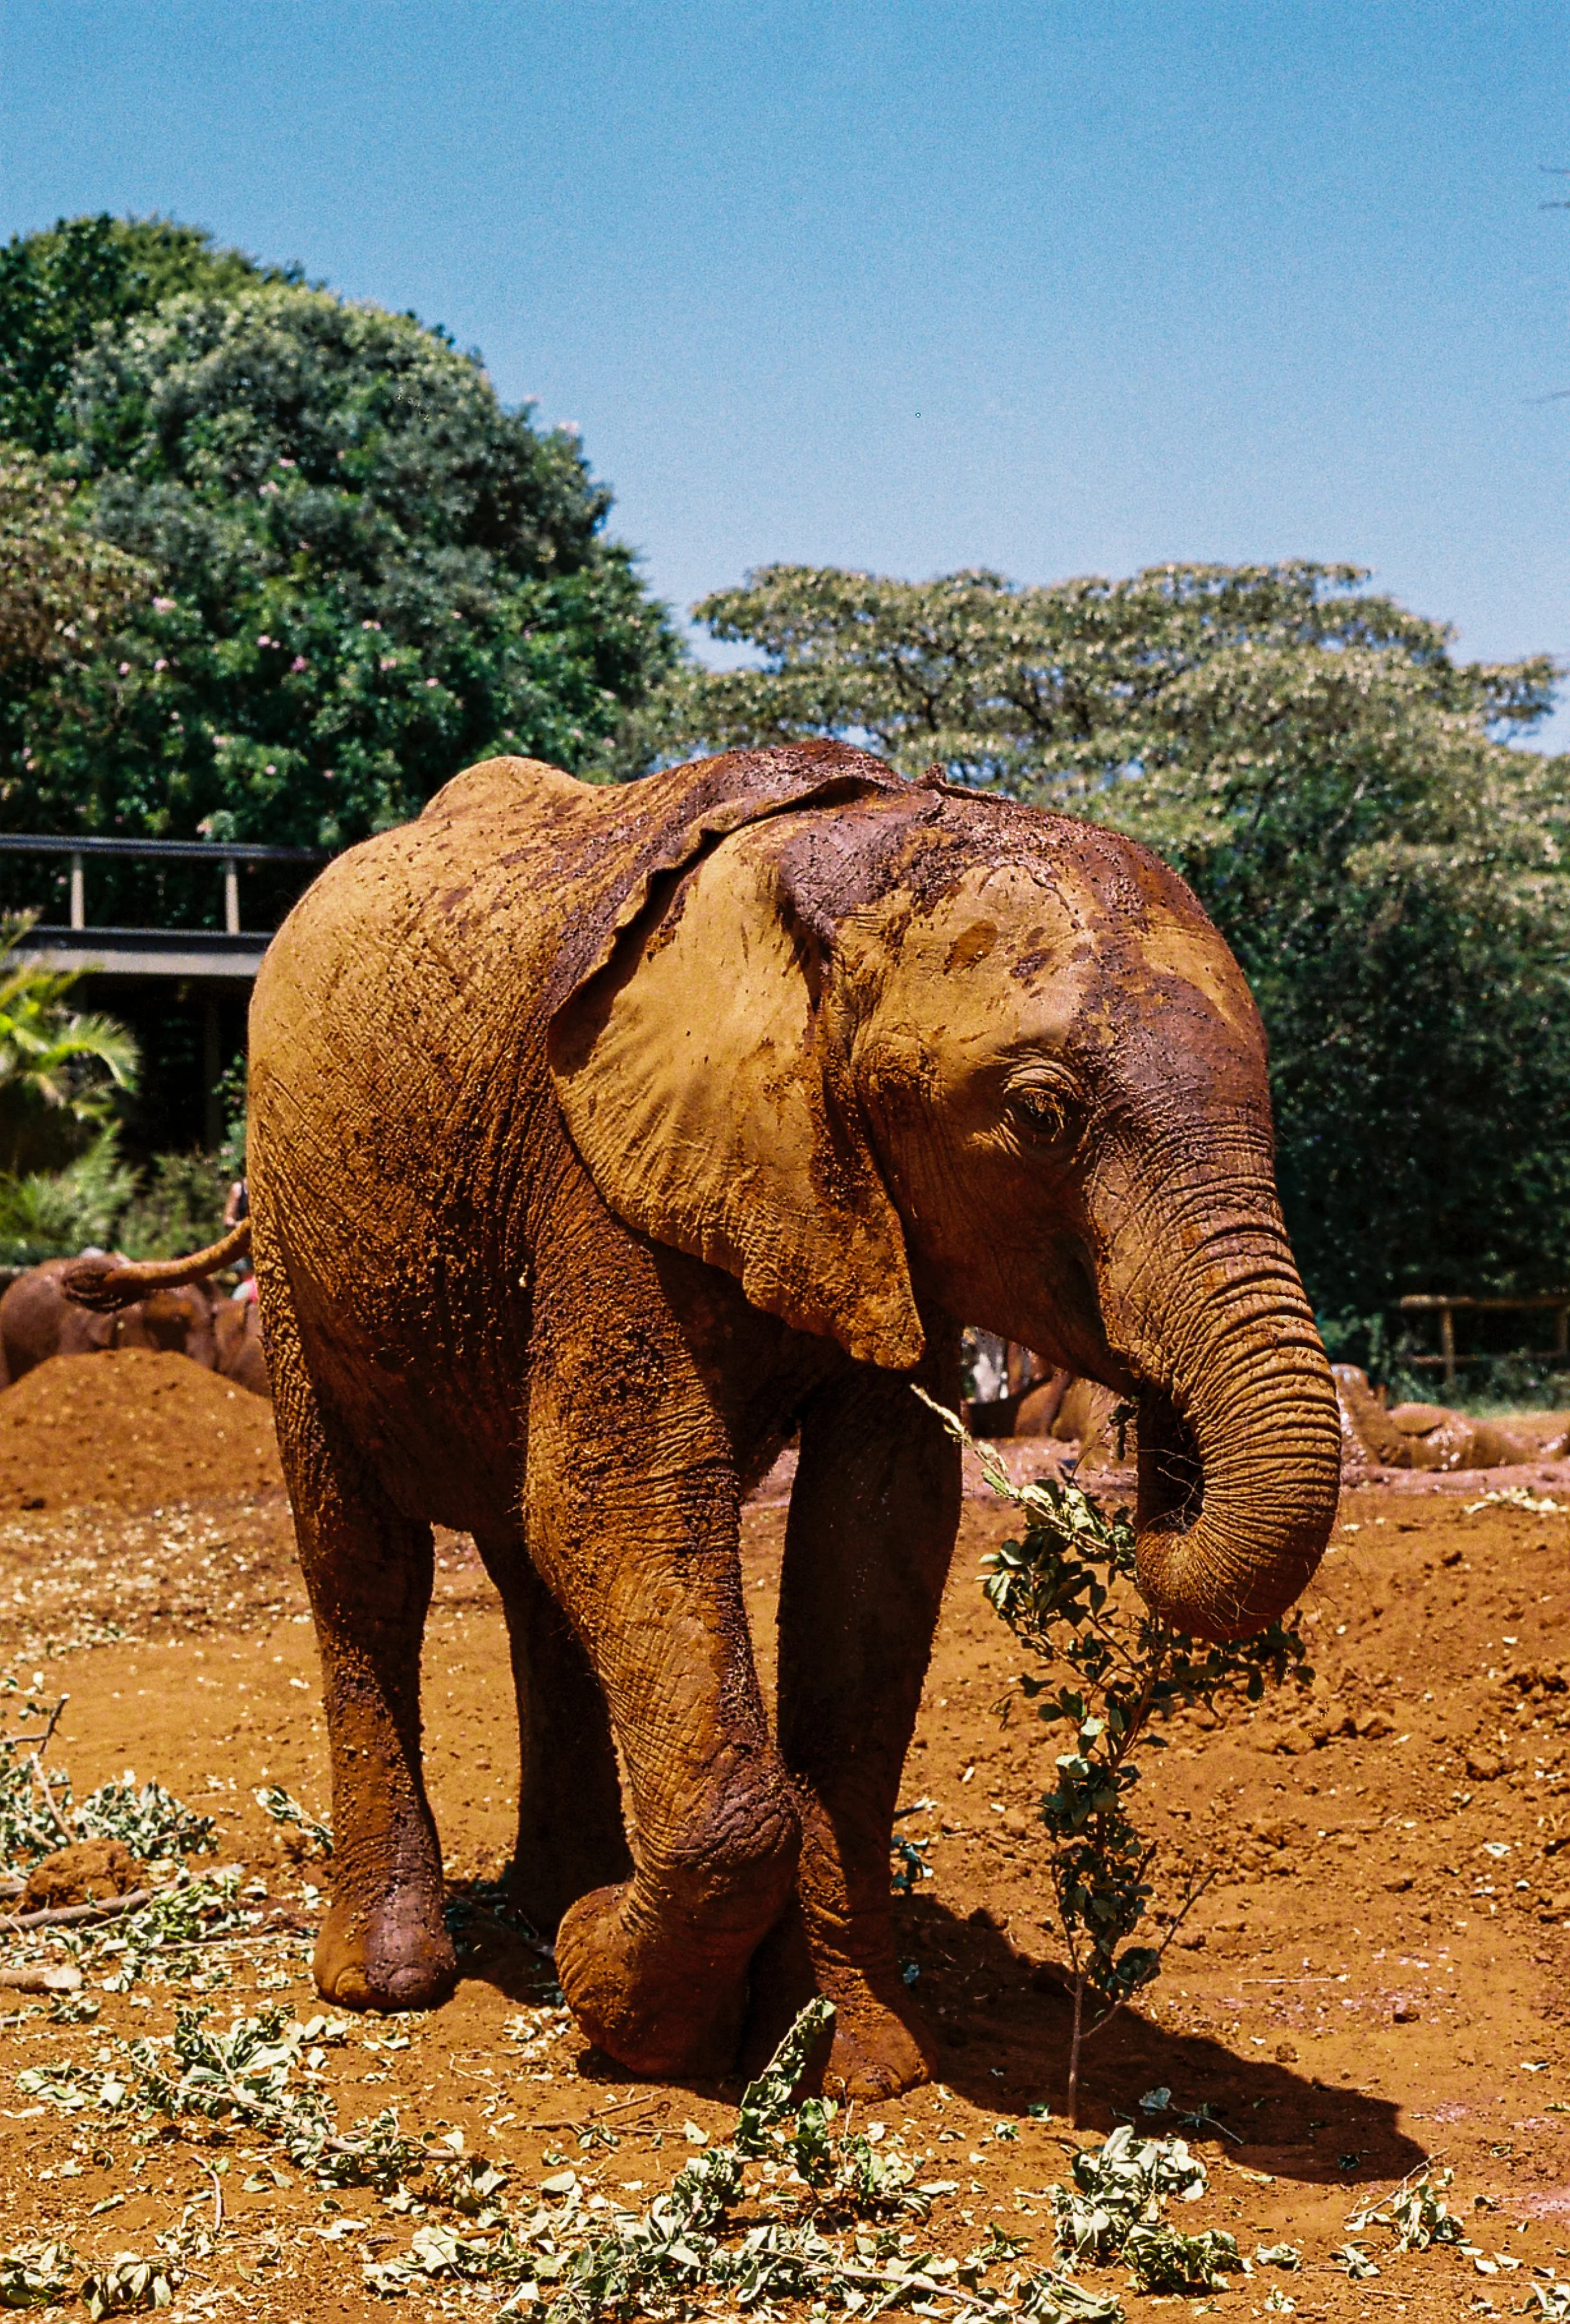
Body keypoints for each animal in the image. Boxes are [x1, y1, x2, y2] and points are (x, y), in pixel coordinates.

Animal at [65, 741, 1341, 2097]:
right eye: (1039, 1115)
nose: (1152, 1460)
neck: (864, 852)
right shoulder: (603, 1175)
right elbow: (618, 1500)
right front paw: (614, 1996)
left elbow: (874, 1541)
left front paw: (849, 2061)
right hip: (296, 1236)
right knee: (366, 1559)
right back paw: (396, 1975)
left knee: (528, 1570)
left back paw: (558, 1892)